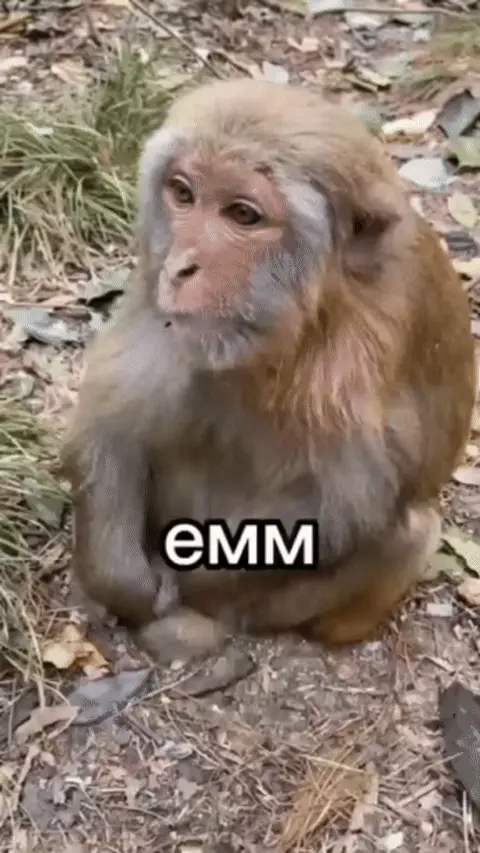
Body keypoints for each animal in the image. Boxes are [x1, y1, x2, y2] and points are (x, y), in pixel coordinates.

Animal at [61, 78, 476, 664]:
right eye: (183, 194)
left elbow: (348, 510)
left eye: (243, 215)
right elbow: (114, 420)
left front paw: (191, 587)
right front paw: (127, 584)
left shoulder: (363, 353)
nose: (181, 266)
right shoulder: (154, 297)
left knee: (410, 531)